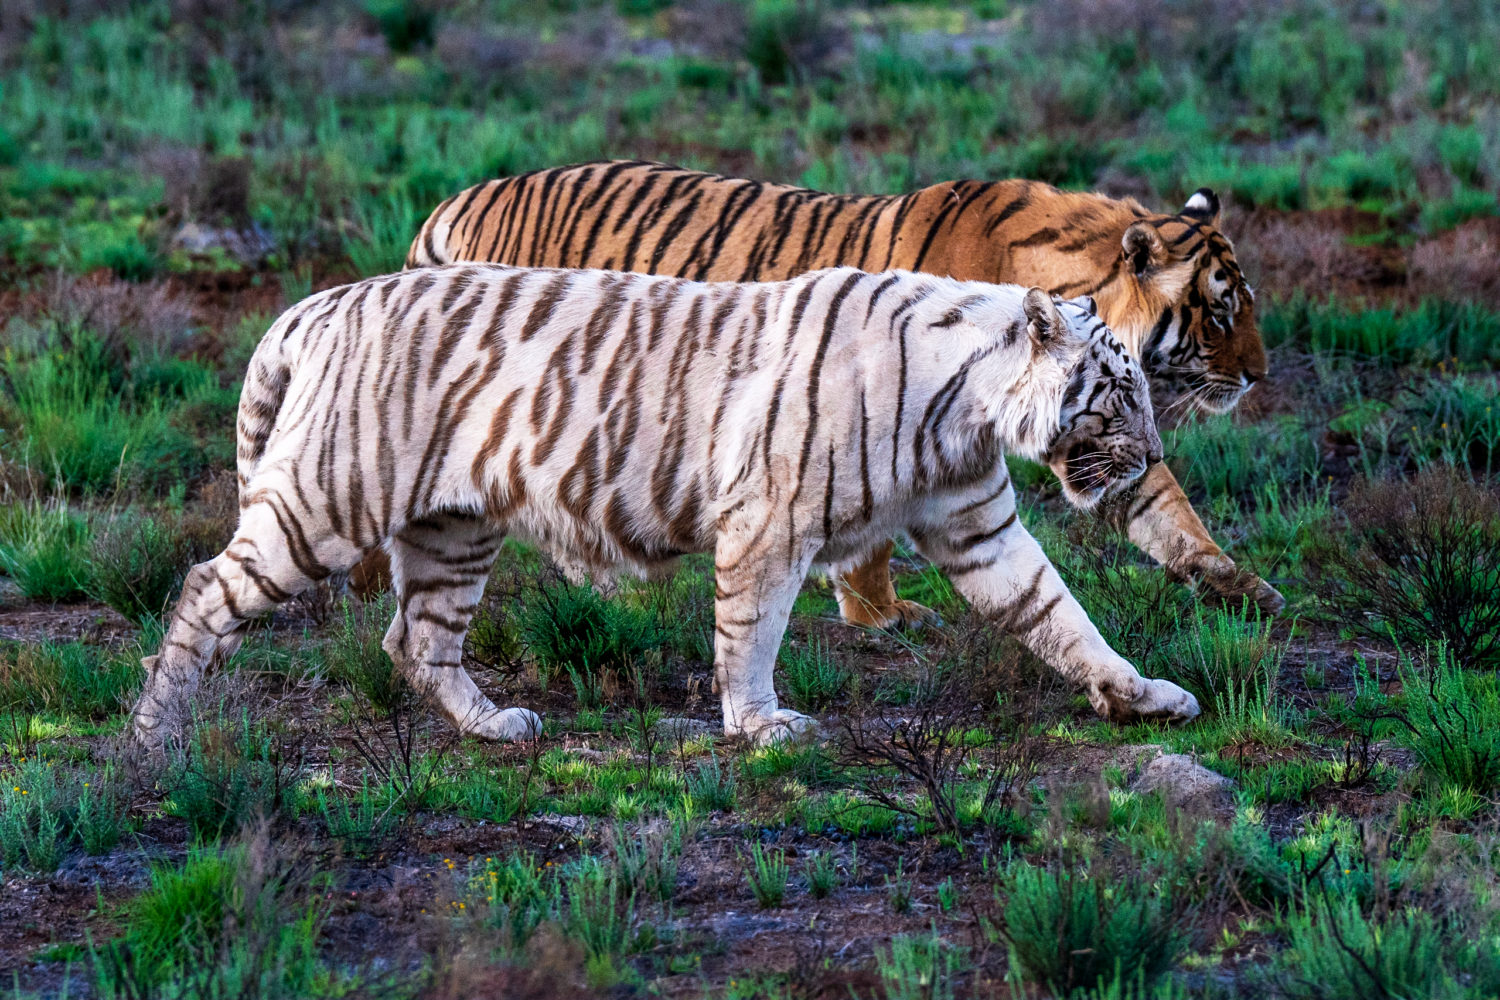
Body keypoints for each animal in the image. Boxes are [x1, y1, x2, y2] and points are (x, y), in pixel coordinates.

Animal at [135, 262, 1200, 746]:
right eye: (1118, 390)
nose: (1153, 453)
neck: (968, 409)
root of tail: (316, 303)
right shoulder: (769, 523)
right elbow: (752, 632)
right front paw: (763, 728)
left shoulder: (979, 526)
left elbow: (1061, 615)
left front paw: (1141, 694)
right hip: (327, 498)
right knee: (205, 587)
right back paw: (154, 735)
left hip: (454, 529)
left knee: (416, 637)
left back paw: (496, 726)